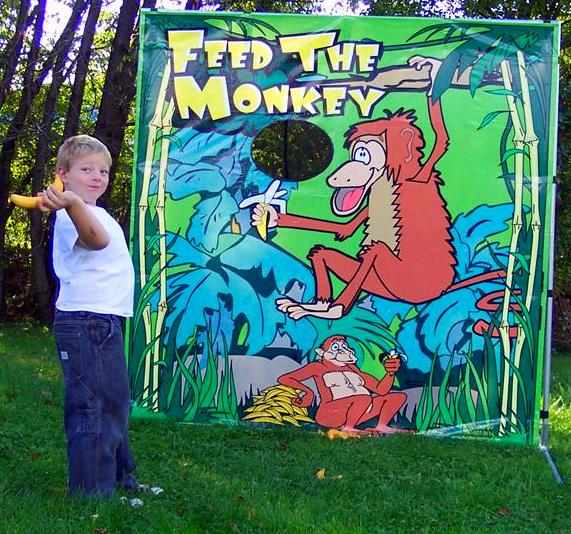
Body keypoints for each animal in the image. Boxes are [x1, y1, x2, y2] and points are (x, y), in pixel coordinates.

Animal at [277, 335, 407, 435]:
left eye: (345, 346)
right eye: (335, 347)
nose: (345, 350)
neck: (337, 366)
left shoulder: (357, 369)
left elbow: (379, 389)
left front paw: (393, 365)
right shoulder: (314, 367)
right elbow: (286, 377)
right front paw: (308, 396)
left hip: (364, 415)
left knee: (397, 396)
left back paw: (382, 428)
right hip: (330, 415)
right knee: (361, 398)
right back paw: (350, 430)